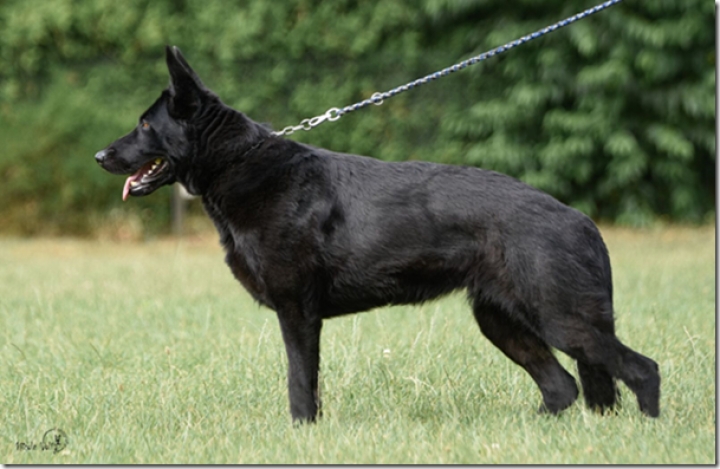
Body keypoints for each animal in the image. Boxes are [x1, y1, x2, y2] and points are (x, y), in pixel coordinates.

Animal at [97, 46, 664, 420]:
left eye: (145, 125)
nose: (100, 156)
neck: (241, 162)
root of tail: (581, 220)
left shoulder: (298, 313)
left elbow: (300, 382)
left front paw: (301, 432)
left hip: (562, 321)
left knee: (641, 369)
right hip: (502, 323)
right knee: (564, 388)